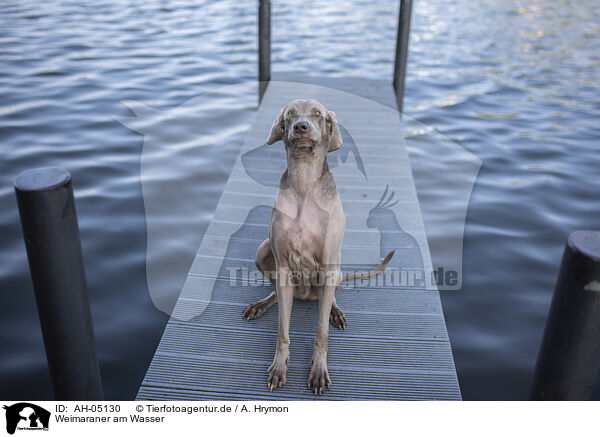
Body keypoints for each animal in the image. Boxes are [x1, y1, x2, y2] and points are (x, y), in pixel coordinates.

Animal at [244, 99, 394, 396]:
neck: (304, 182)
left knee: (330, 295)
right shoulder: (283, 264)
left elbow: (321, 333)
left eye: (317, 114)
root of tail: (305, 295)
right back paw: (262, 303)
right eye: (290, 114)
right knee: (278, 293)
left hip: (335, 267)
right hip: (263, 251)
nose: (301, 127)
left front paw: (318, 372)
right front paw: (279, 367)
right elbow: (283, 331)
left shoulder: (327, 263)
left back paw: (335, 310)